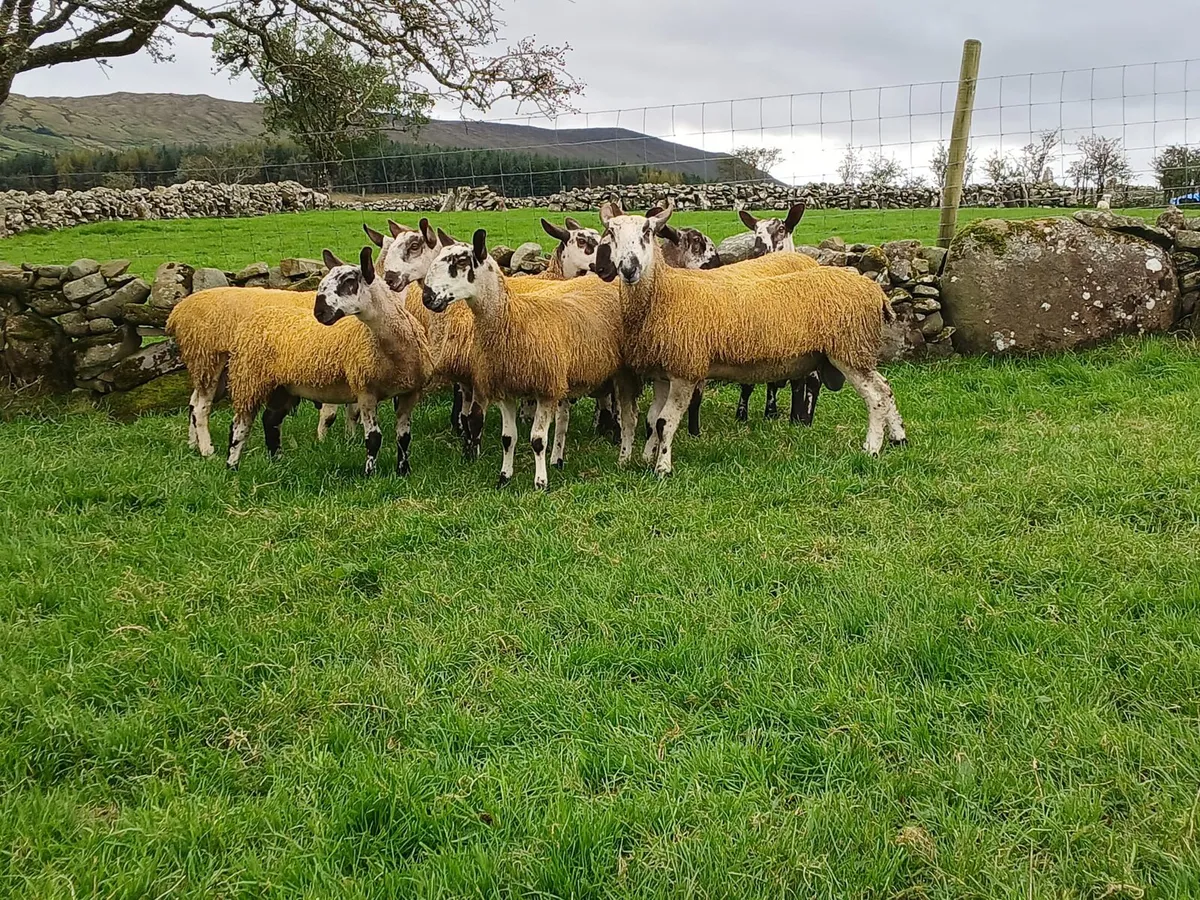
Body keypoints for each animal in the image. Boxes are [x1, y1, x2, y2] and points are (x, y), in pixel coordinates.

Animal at [225, 247, 433, 476]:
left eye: (349, 281)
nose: (319, 312)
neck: (393, 352)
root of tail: (258, 315)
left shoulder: (410, 392)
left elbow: (404, 437)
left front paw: (404, 472)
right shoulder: (365, 390)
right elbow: (373, 438)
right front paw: (370, 474)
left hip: (283, 387)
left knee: (270, 421)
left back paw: (277, 462)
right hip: (248, 380)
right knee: (239, 426)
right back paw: (232, 467)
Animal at [421, 229, 640, 490]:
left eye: (462, 262)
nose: (427, 297)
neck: (513, 319)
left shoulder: (546, 389)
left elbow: (537, 440)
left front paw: (541, 483)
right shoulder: (505, 390)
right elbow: (508, 438)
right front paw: (504, 477)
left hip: (622, 371)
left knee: (627, 416)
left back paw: (623, 453)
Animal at [596, 199, 904, 476]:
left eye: (647, 232)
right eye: (611, 233)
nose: (628, 269)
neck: (664, 292)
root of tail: (875, 290)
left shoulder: (686, 369)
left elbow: (665, 422)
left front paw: (662, 468)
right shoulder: (663, 371)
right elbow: (651, 421)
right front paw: (648, 457)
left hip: (849, 349)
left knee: (876, 395)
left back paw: (871, 448)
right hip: (856, 351)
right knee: (886, 387)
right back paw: (898, 437)